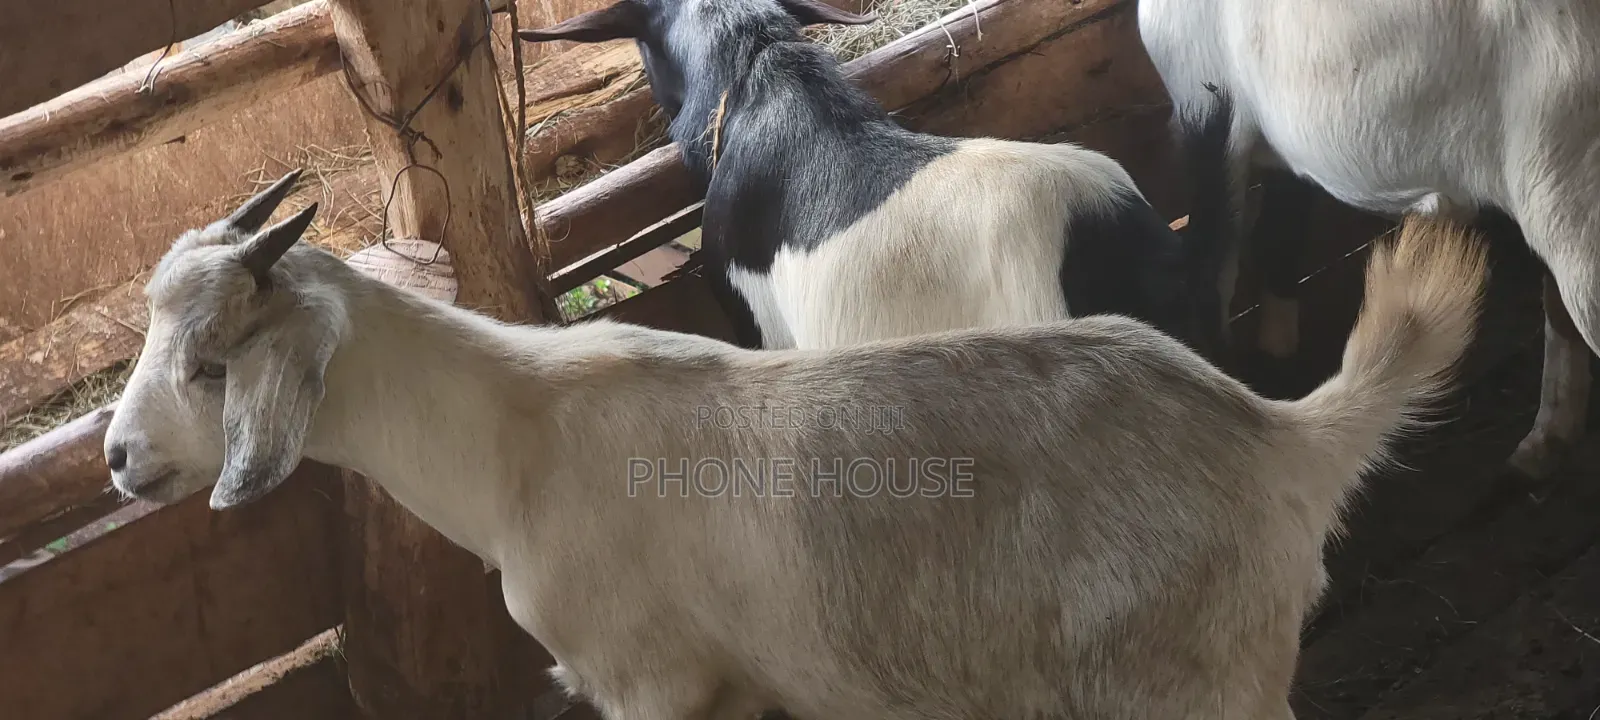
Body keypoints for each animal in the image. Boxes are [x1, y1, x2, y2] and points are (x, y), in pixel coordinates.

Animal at [105, 171, 1484, 719]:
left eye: (213, 362)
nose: (117, 461)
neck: (513, 438)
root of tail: (1281, 437)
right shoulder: (741, 682)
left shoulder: (649, 683)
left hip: (1196, 681)